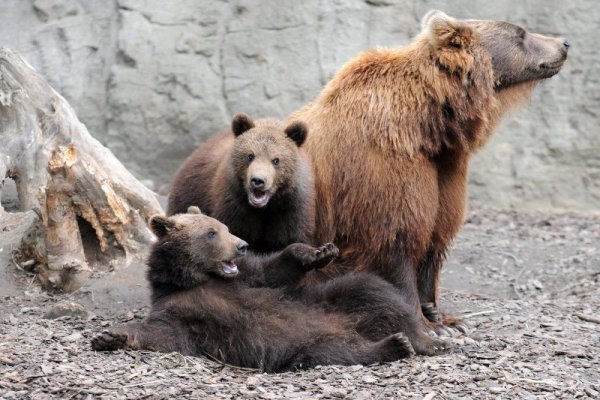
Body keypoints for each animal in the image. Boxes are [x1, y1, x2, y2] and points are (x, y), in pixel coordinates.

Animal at [92, 208, 422, 374]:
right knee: (337, 351)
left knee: (371, 291)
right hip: (306, 345)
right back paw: (395, 344)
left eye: (224, 227)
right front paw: (110, 336)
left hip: (328, 301)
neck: (195, 279)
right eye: (211, 233)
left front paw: (319, 252)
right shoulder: (178, 309)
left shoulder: (247, 279)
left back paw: (421, 338)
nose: (241, 245)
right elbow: (164, 334)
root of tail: (353, 328)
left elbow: (275, 271)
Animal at [166, 112, 312, 253]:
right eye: (250, 155)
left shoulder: (290, 209)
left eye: (276, 160)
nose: (258, 180)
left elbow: (286, 239)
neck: (265, 208)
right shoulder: (236, 206)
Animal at [292, 10, 568, 332]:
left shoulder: (445, 168)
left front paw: (443, 317)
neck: (429, 125)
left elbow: (437, 231)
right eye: (520, 33)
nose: (564, 43)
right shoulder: (384, 164)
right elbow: (398, 234)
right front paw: (425, 321)